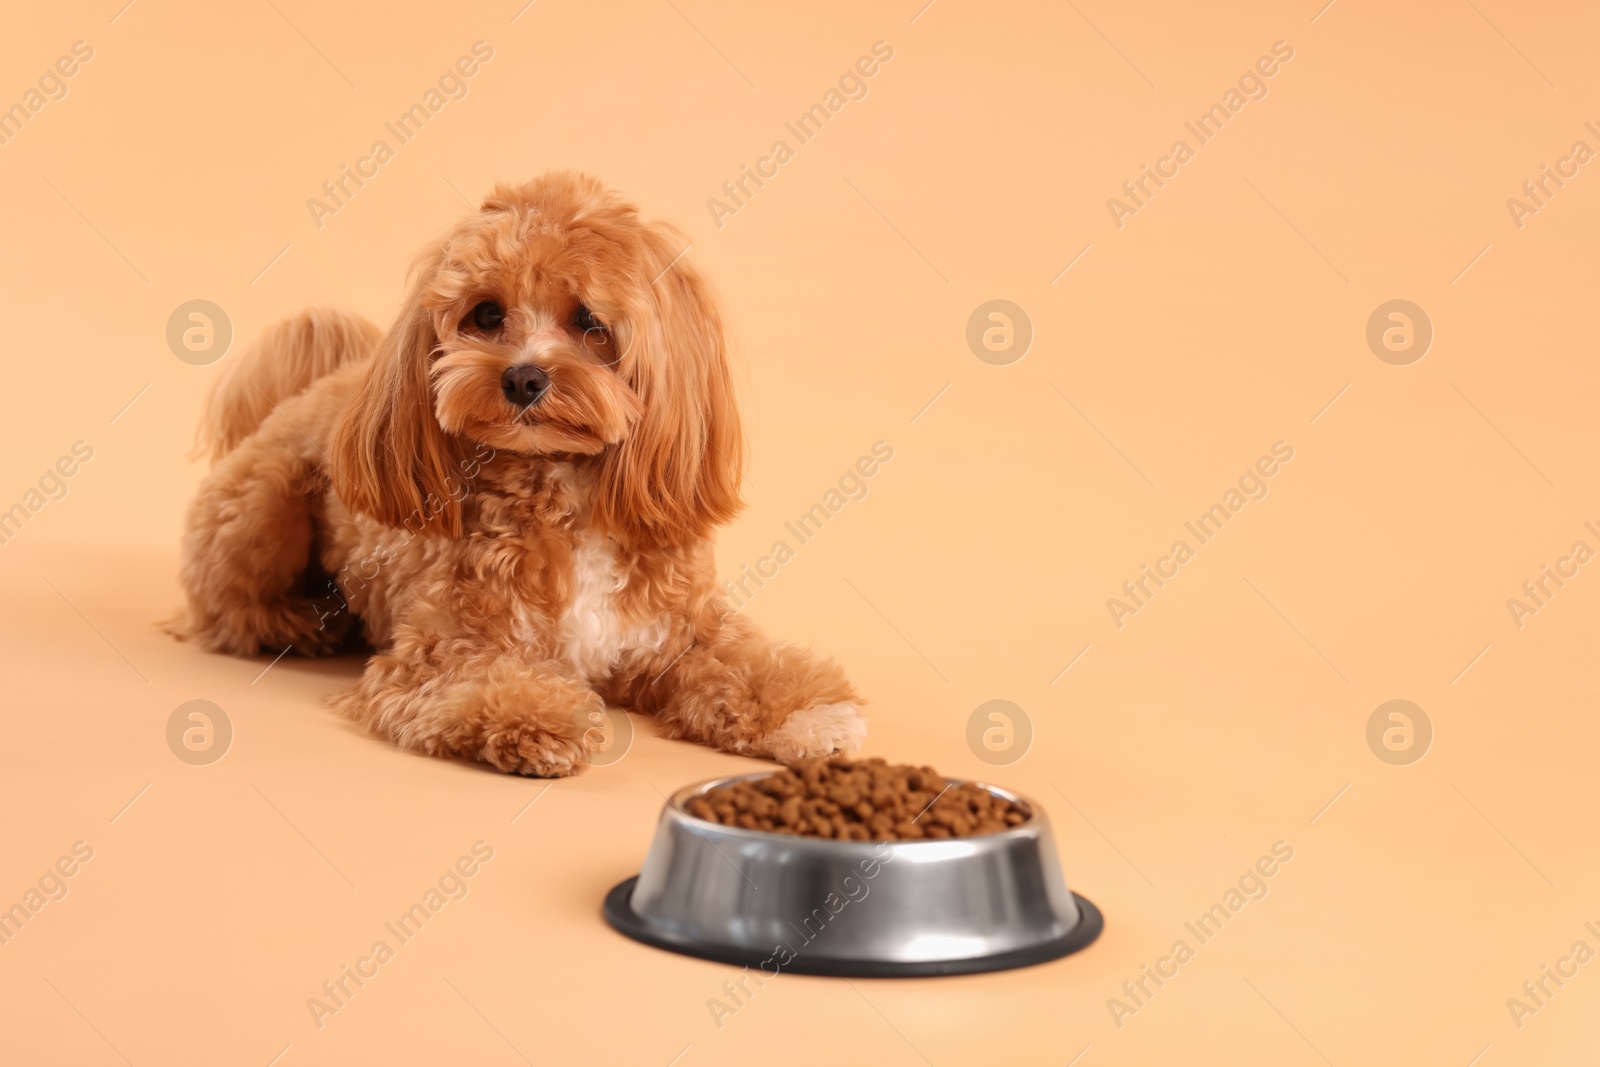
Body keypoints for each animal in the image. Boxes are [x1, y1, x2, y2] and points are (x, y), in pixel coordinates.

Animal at [173, 175, 864, 777]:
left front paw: (809, 713)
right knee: (227, 606)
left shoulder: (682, 633)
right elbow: (488, 678)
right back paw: (298, 619)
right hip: (262, 509)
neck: (565, 492)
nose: (524, 377)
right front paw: (539, 722)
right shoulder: (445, 647)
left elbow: (745, 663)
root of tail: (321, 384)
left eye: (589, 320)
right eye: (485, 314)